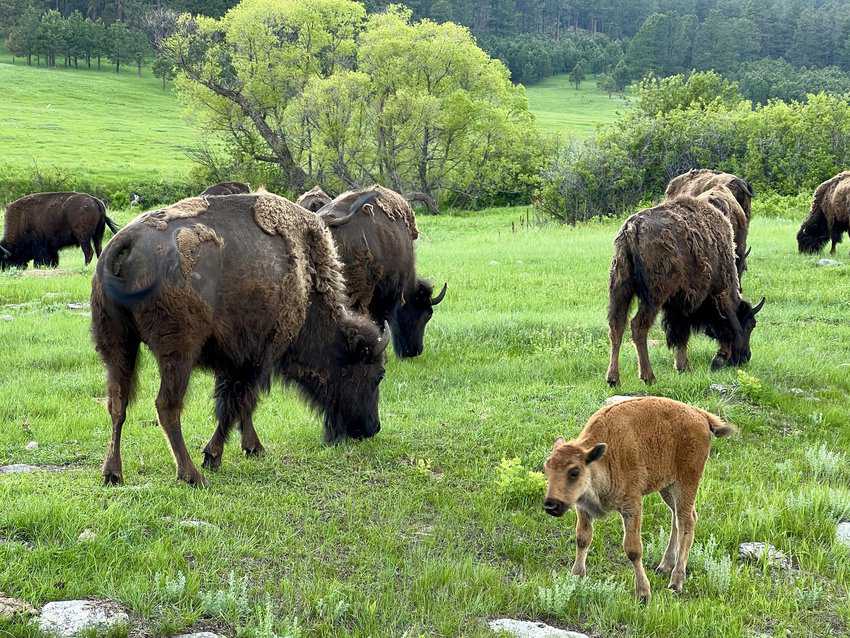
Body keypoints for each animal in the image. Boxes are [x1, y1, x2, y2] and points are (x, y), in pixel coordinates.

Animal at [91, 192, 387, 486]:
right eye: (377, 375)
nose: (372, 428)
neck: (306, 283)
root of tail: (125, 241)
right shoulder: (255, 358)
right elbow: (236, 404)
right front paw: (214, 455)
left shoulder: (234, 360)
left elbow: (238, 404)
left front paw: (252, 447)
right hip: (177, 355)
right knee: (167, 406)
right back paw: (191, 475)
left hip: (118, 345)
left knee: (118, 403)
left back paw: (112, 473)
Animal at [606, 196, 765, 386]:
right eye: (750, 325)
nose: (745, 357)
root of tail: (632, 228)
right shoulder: (690, 301)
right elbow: (683, 332)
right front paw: (687, 365)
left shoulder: (676, 304)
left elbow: (678, 334)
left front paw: (683, 366)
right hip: (653, 297)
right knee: (638, 326)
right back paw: (648, 376)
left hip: (620, 289)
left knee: (616, 327)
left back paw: (613, 379)